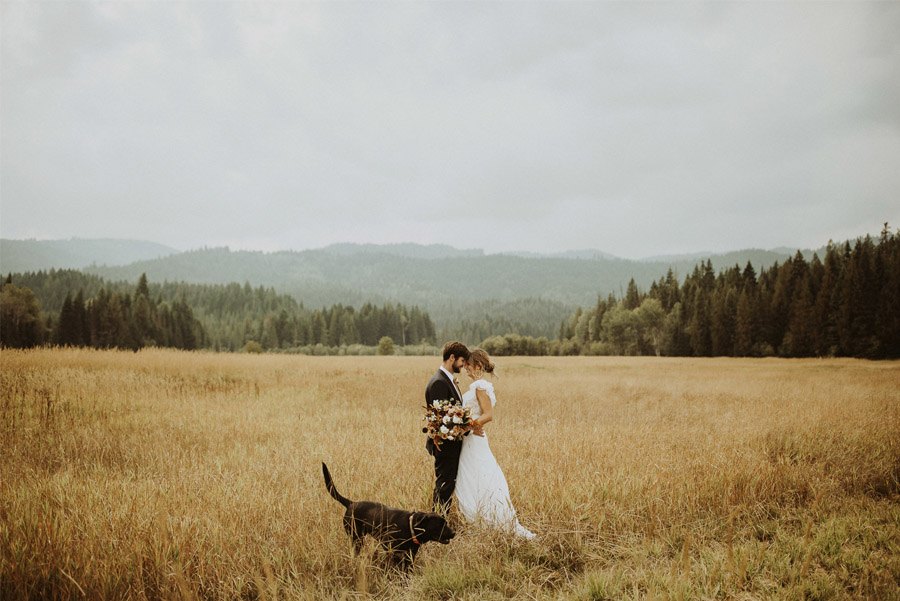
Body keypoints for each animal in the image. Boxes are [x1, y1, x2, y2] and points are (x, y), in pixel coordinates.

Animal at [320, 464, 454, 568]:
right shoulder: (389, 546)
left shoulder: (410, 555)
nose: (454, 533)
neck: (410, 527)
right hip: (356, 538)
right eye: (440, 525)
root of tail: (351, 503)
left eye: (446, 523)